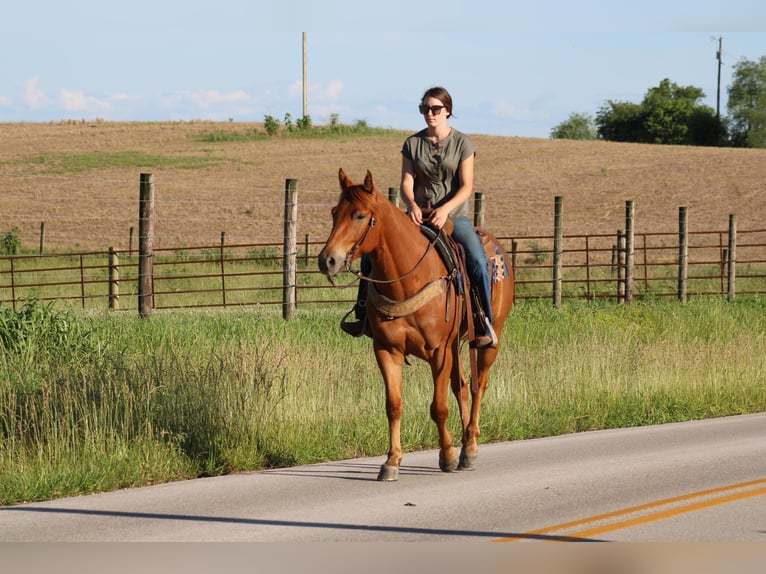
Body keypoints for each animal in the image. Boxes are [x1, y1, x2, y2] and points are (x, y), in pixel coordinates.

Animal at [318, 169, 516, 484]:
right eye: (335, 212)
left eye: (360, 215)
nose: (327, 260)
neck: (407, 278)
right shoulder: (387, 350)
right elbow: (394, 406)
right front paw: (391, 461)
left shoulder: (440, 352)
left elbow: (438, 407)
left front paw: (447, 456)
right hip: (456, 348)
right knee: (461, 387)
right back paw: (464, 444)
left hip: (488, 342)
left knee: (478, 387)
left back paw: (470, 448)